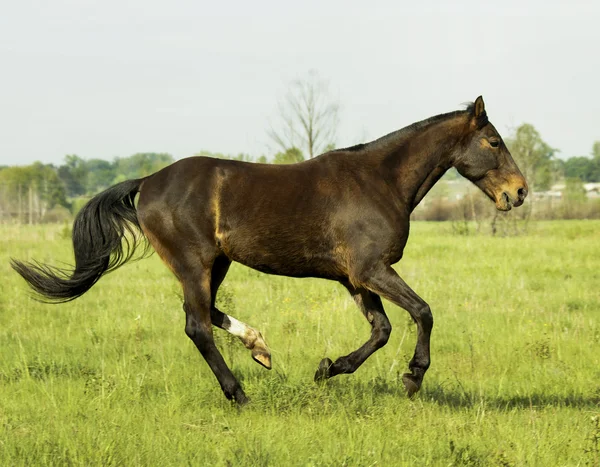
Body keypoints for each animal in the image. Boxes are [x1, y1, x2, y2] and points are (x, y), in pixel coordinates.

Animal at [11, 96, 528, 406]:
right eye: (493, 142)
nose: (519, 192)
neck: (379, 181)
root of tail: (148, 181)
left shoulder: (356, 277)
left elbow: (380, 330)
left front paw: (327, 369)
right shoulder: (372, 270)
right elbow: (422, 312)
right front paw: (413, 377)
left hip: (216, 264)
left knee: (205, 314)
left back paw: (259, 347)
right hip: (195, 263)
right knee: (197, 325)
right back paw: (239, 393)